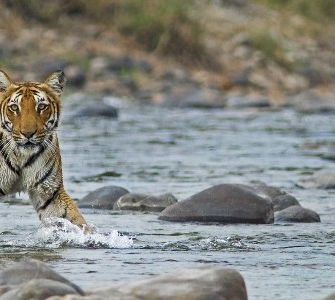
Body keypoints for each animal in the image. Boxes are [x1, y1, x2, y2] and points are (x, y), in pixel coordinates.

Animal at [0, 69, 89, 232]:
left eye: (41, 106)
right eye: (14, 108)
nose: (28, 133)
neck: (21, 156)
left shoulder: (49, 191)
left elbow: (73, 219)